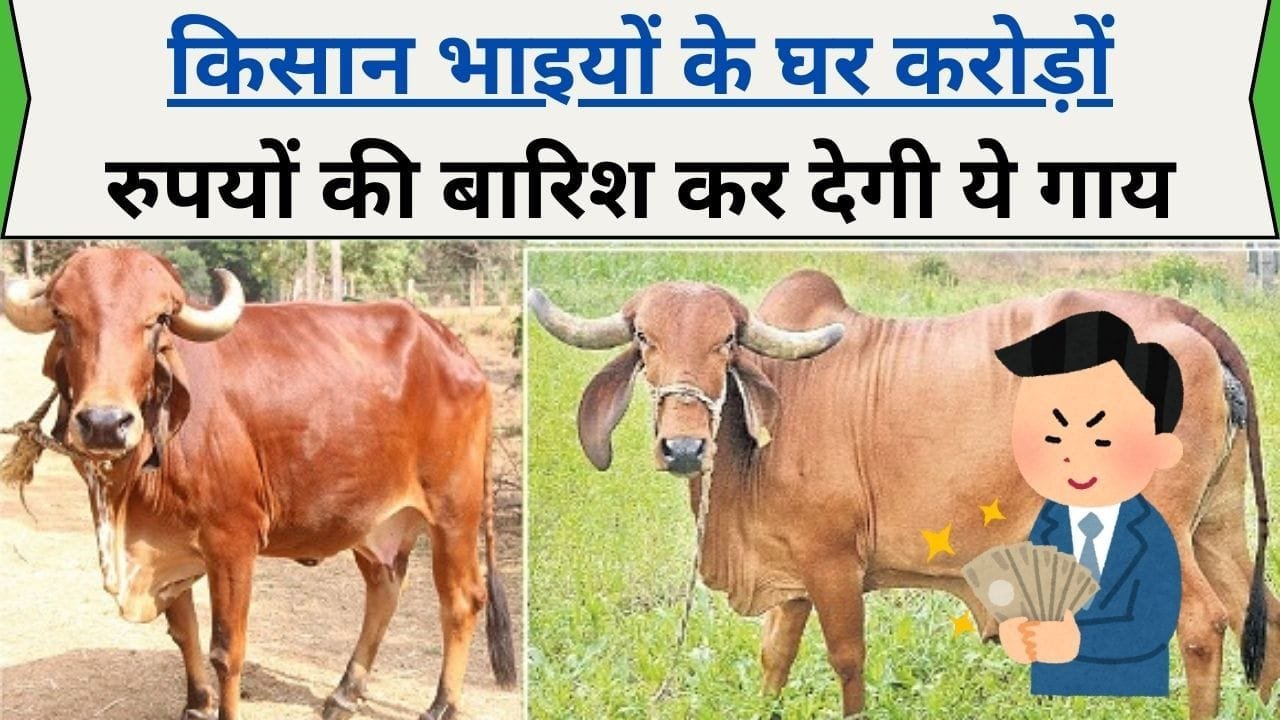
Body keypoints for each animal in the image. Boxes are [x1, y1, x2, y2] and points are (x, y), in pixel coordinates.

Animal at [2, 247, 517, 720]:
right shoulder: (167, 546)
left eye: (158, 320)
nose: (105, 424)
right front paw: (196, 704)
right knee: (385, 590)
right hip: (376, 522)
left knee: (462, 600)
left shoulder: (233, 542)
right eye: (63, 316)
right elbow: (184, 633)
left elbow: (226, 651)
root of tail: (454, 347)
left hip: (454, 511)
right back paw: (344, 693)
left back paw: (442, 704)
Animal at [527, 269, 1278, 719]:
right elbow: (776, 656)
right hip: (1214, 525)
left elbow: (846, 658)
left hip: (1154, 528)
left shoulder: (833, 563)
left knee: (1204, 623)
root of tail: (1187, 322)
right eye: (644, 339)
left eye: (726, 342)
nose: (683, 448)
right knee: (1259, 609)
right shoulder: (792, 569)